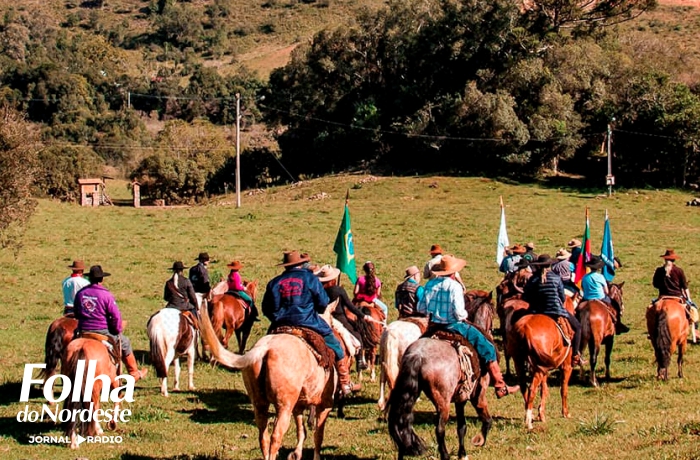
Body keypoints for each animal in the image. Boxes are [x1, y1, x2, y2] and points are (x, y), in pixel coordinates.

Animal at [200, 302, 342, 460]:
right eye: (333, 324)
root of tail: (264, 349)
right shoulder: (325, 405)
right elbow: (318, 435)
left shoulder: (298, 406)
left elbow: (302, 430)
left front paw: (296, 454)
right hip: (284, 408)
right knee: (276, 437)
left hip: (260, 404)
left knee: (263, 436)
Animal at [508, 300, 576, 430]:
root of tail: (525, 328)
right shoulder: (566, 367)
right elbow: (563, 389)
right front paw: (565, 413)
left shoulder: (544, 368)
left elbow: (544, 389)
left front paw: (541, 415)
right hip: (538, 369)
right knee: (532, 389)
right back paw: (529, 422)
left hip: (520, 362)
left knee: (524, 387)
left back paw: (529, 415)